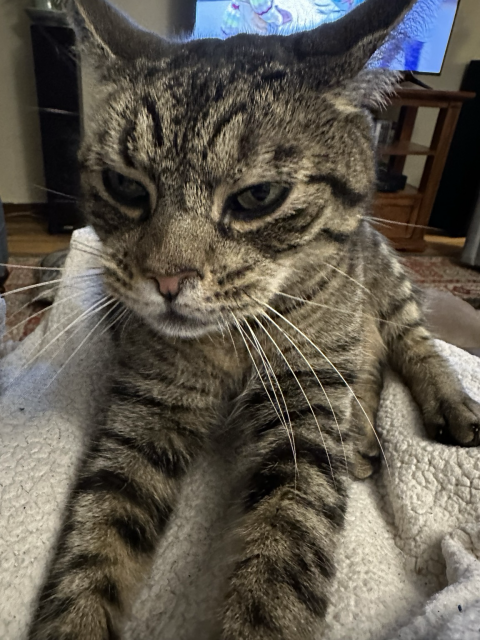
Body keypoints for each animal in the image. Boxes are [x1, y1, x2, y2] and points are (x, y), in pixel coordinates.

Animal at [29, 0, 480, 636]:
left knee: (406, 338)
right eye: (124, 185)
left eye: (258, 197)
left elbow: (285, 560)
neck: (232, 342)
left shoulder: (306, 413)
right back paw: (362, 438)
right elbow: (95, 541)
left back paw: (445, 404)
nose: (167, 281)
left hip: (381, 277)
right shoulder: (149, 401)